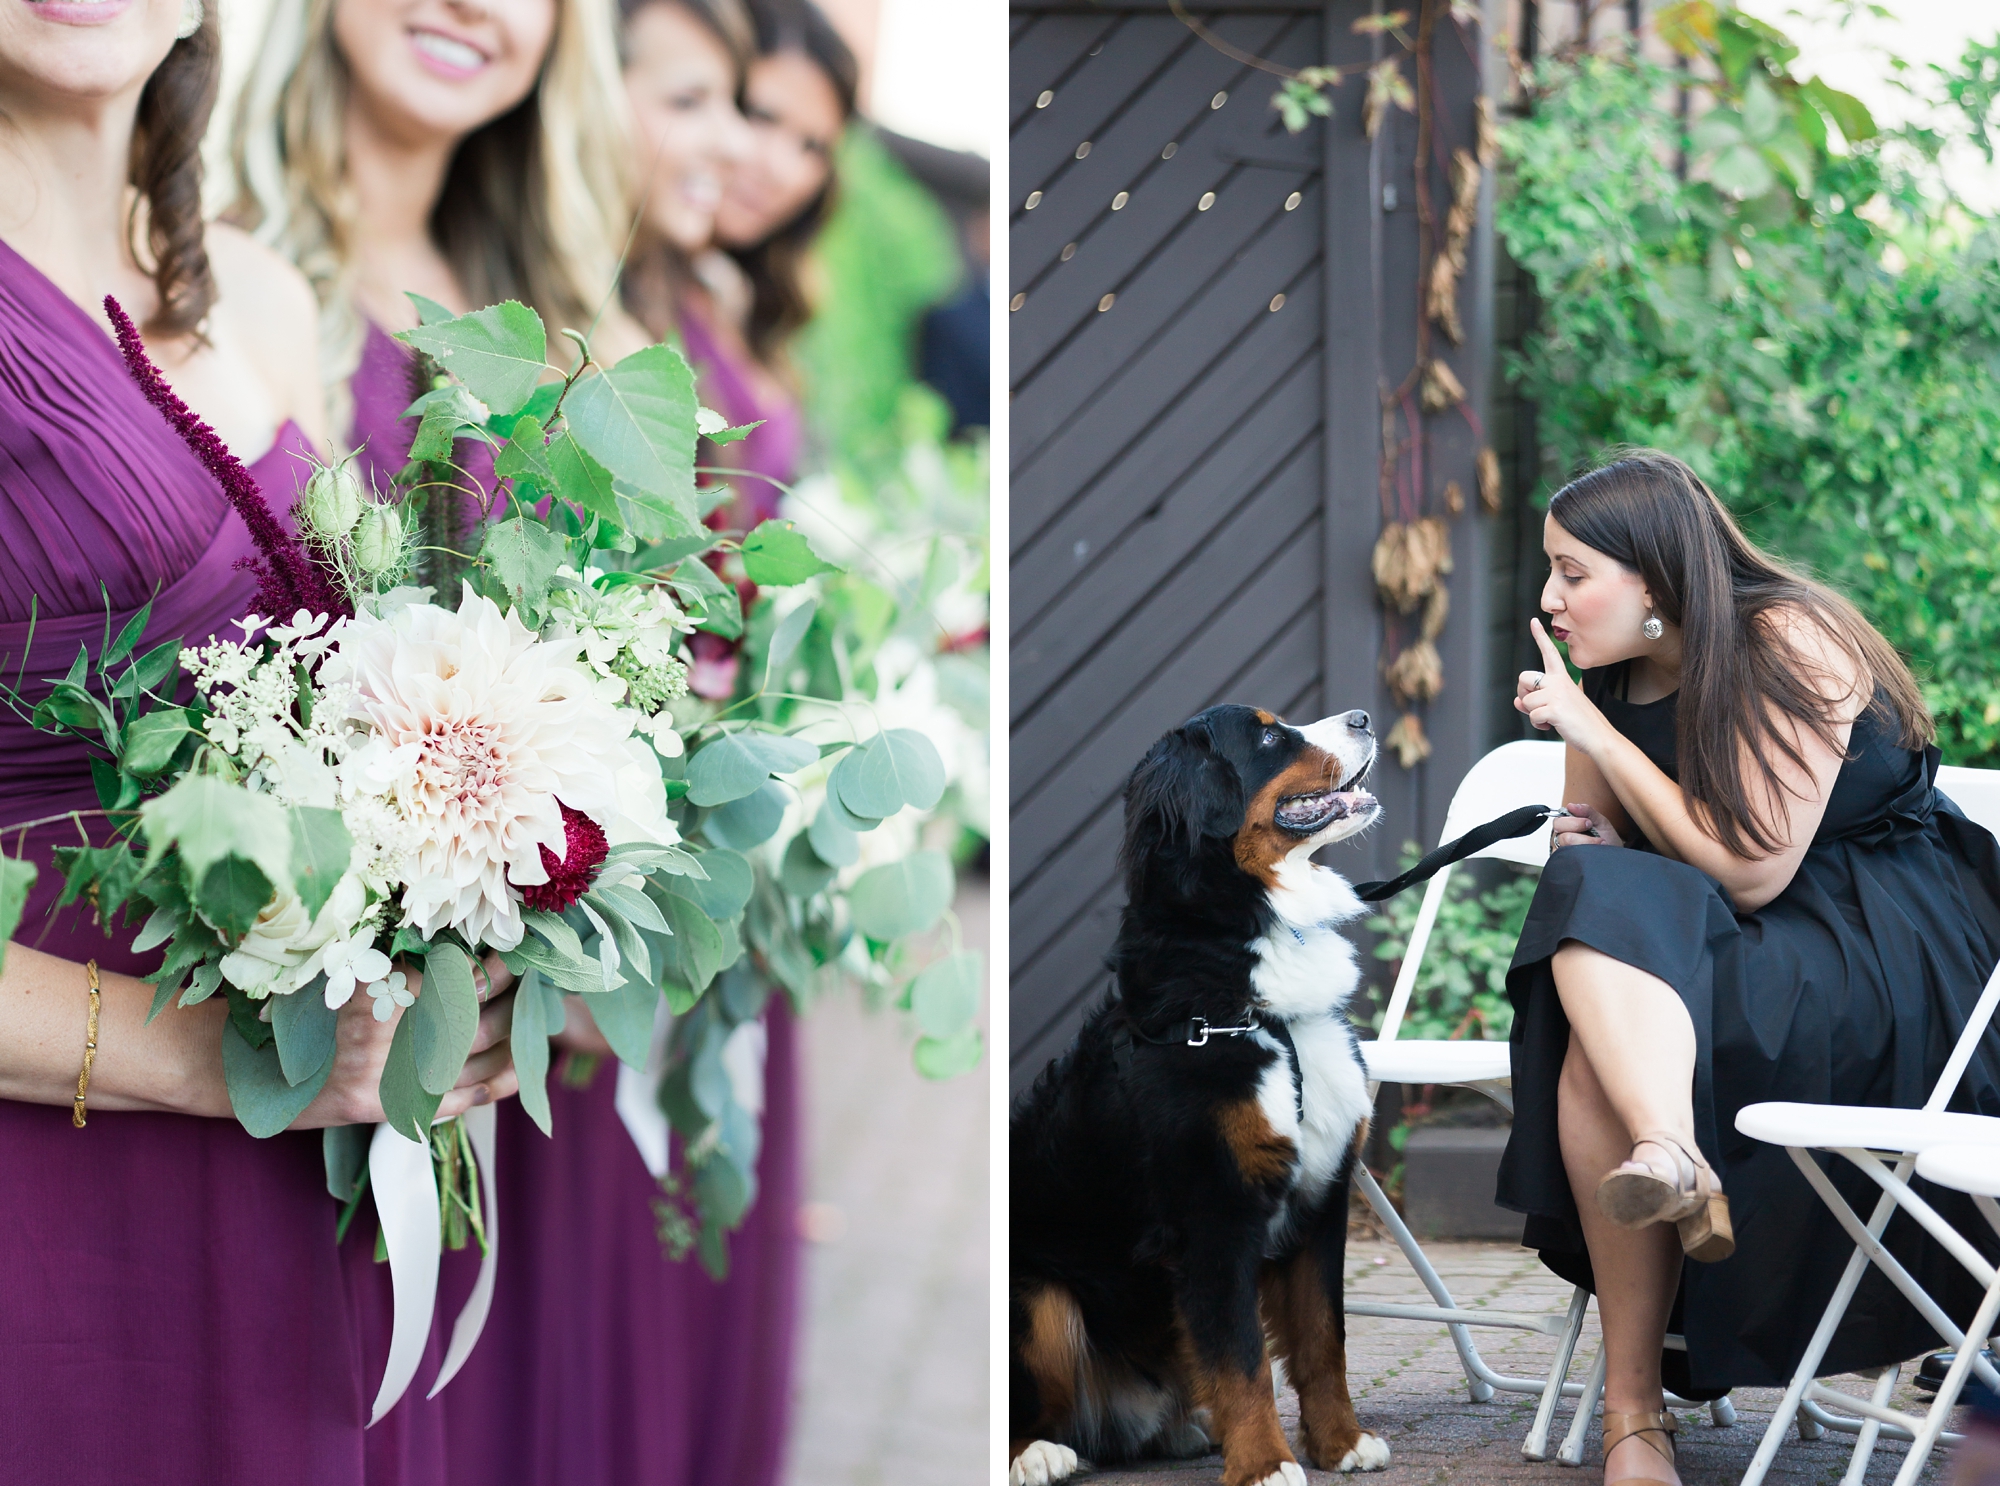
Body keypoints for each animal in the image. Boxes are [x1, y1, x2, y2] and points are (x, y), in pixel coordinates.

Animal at [1016, 704, 1392, 1480]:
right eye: (1271, 736)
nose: (1364, 716)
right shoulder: (1212, 1209)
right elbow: (1240, 1356)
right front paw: (1266, 1463)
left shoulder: (1322, 1197)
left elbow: (1323, 1339)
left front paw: (1340, 1443)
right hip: (1040, 1293)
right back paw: (1039, 1453)